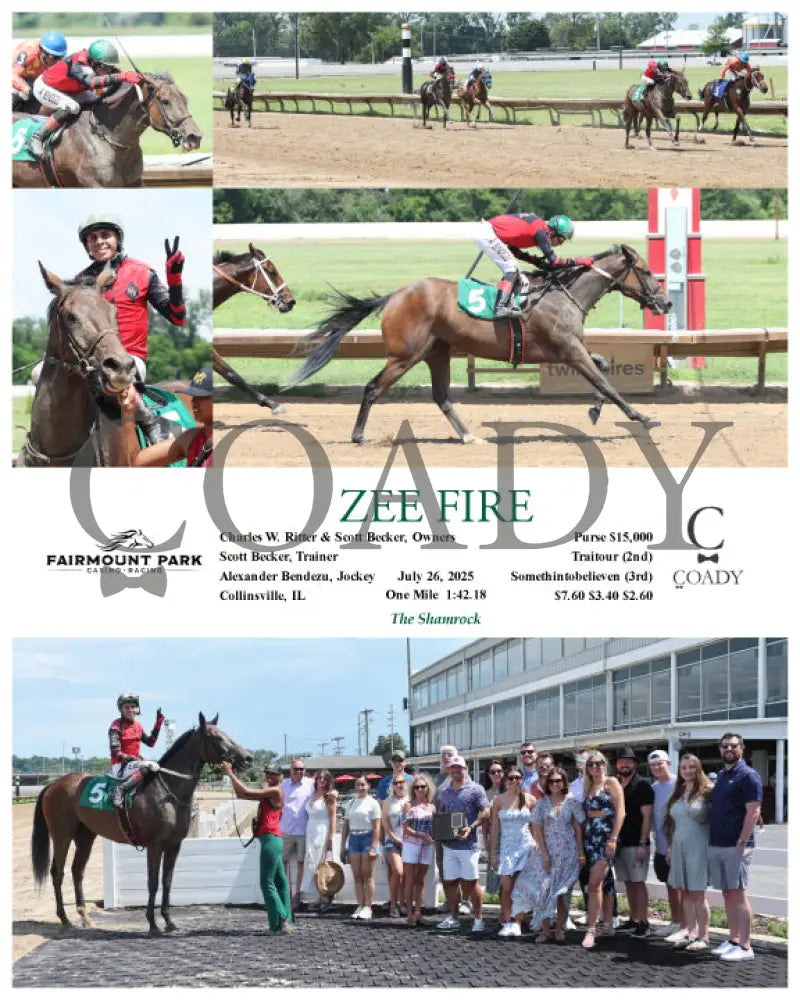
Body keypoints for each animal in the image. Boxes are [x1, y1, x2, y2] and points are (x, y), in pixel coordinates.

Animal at [31, 713, 252, 936]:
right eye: (217, 737)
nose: (248, 758)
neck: (167, 789)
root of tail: (53, 785)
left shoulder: (174, 846)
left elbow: (167, 881)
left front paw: (169, 921)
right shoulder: (154, 845)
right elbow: (152, 883)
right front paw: (153, 924)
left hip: (85, 836)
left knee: (77, 871)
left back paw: (84, 917)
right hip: (62, 835)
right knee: (57, 872)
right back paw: (65, 919)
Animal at [285, 246, 672, 445]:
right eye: (646, 271)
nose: (666, 303)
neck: (563, 294)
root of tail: (394, 295)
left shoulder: (567, 350)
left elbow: (603, 368)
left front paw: (594, 410)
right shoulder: (568, 350)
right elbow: (606, 382)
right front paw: (642, 417)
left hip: (436, 352)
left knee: (441, 396)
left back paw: (469, 436)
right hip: (405, 355)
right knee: (372, 388)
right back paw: (358, 435)